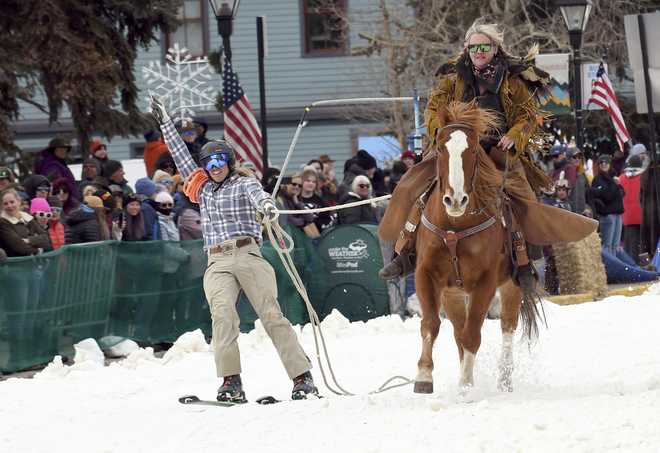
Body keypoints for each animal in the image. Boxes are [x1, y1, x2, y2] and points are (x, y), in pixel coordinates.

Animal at [412, 100, 540, 394]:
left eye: (472, 149)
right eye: (440, 148)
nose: (455, 200)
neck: (454, 227)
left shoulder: (486, 282)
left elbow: (473, 335)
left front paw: (465, 387)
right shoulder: (426, 274)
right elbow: (431, 324)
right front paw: (424, 376)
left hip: (511, 286)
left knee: (506, 326)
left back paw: (503, 380)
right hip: (453, 294)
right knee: (458, 331)